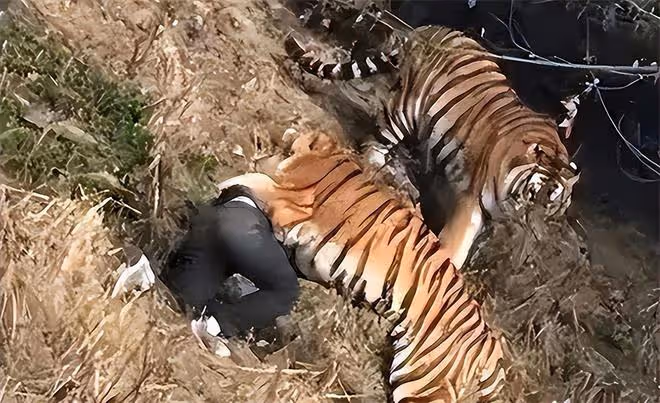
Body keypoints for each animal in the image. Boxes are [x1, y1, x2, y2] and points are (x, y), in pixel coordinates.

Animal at [218, 130, 506, 402]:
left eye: (285, 148)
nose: (263, 153)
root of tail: (494, 358)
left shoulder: (289, 205)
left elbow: (253, 179)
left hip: (425, 384)